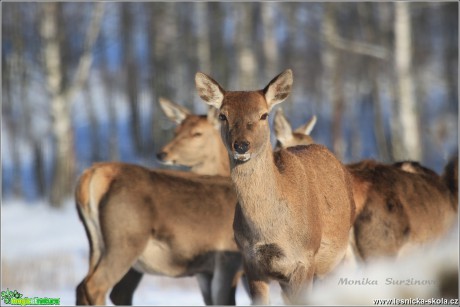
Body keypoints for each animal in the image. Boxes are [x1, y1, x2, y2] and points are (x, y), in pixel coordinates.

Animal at [194, 69, 356, 306]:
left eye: (263, 115)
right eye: (223, 115)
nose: (241, 145)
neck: (271, 232)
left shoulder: (304, 259)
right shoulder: (251, 262)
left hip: (340, 259)